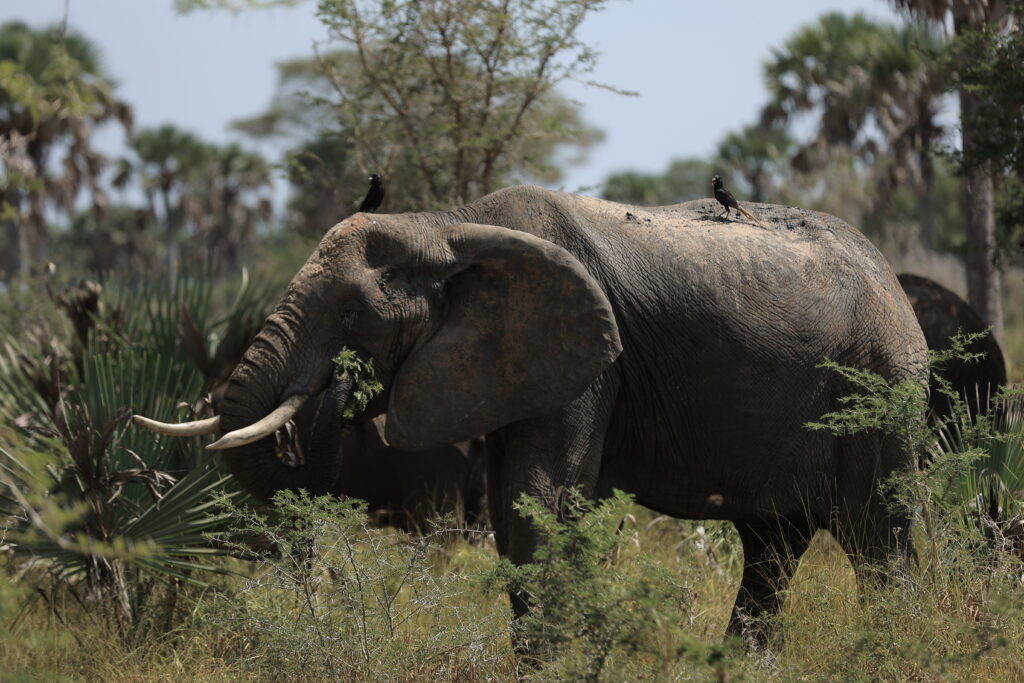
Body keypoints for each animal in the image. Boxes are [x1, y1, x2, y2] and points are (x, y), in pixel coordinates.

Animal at [136, 185, 927, 642]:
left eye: (353, 313)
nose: (338, 386)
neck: (448, 224)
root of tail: (893, 278)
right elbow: (513, 513)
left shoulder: (589, 362)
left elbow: (539, 499)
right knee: (773, 547)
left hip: (885, 383)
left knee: (878, 541)